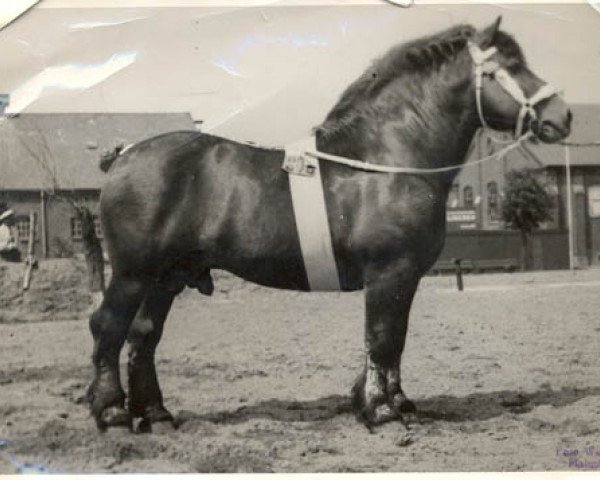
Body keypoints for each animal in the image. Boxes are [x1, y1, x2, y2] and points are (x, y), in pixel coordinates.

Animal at [86, 17, 568, 432]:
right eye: (511, 67)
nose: (562, 116)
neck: (386, 160)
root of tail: (124, 156)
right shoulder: (388, 272)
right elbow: (381, 337)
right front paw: (381, 411)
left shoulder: (406, 276)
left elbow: (395, 340)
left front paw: (391, 401)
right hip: (132, 273)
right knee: (108, 327)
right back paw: (112, 413)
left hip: (166, 278)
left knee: (144, 336)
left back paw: (155, 414)